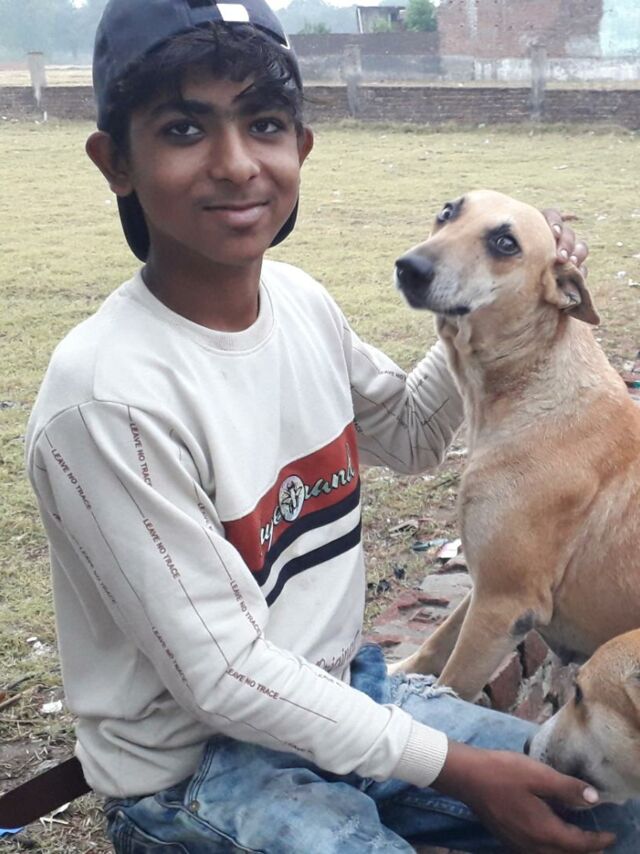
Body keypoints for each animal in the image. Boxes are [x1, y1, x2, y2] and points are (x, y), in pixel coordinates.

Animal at [390, 189, 640, 702]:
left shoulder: (503, 605)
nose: (409, 267)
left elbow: (452, 682)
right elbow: (436, 642)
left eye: (506, 243)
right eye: (448, 212)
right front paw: (399, 672)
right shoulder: (484, 587)